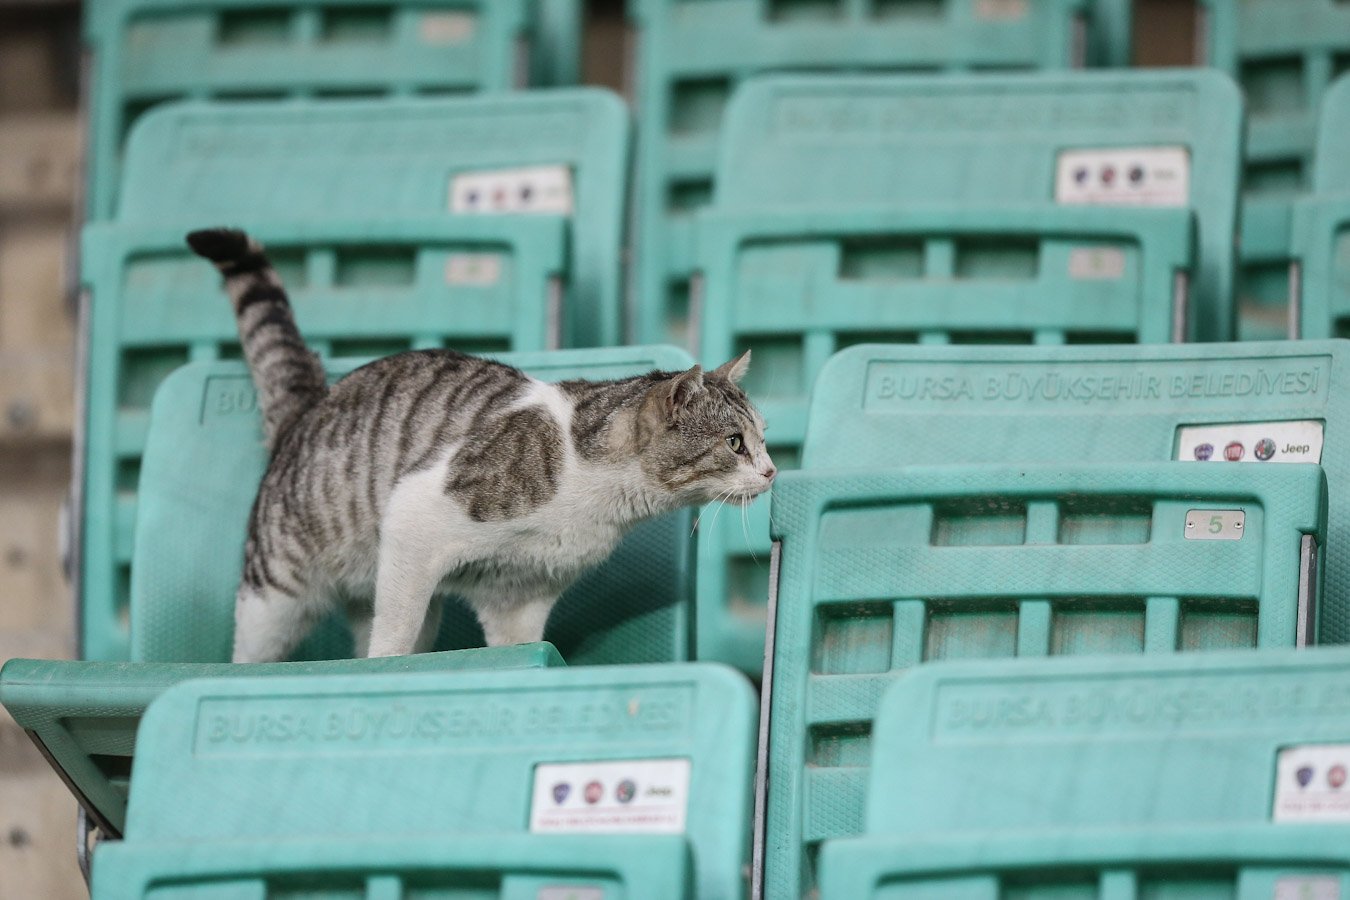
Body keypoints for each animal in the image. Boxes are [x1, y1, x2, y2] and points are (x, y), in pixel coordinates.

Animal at [184, 226, 777, 661]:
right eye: (734, 442)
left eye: (762, 440)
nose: (773, 471)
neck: (599, 496)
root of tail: (310, 406)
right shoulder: (415, 515)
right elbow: (392, 638)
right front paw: (386, 669)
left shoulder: (520, 593)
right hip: (276, 596)